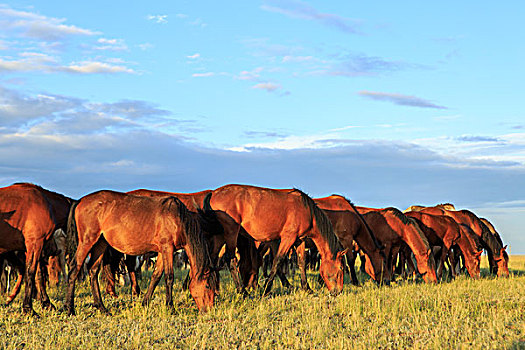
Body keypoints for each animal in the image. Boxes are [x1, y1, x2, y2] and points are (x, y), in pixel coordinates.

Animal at [65, 190, 217, 316]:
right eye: (207, 286)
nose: (208, 310)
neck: (177, 218)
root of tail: (80, 201)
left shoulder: (162, 252)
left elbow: (156, 276)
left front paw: (145, 302)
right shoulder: (167, 248)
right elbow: (169, 277)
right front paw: (170, 307)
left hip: (100, 243)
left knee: (93, 271)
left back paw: (102, 308)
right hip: (87, 242)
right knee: (74, 268)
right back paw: (70, 309)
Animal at [207, 183, 346, 296]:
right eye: (341, 268)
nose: (338, 291)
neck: (308, 212)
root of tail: (213, 194)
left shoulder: (299, 240)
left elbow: (301, 262)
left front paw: (307, 288)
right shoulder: (287, 238)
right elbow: (278, 260)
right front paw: (266, 289)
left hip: (220, 236)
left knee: (213, 258)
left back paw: (214, 291)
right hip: (231, 233)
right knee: (230, 259)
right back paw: (242, 291)